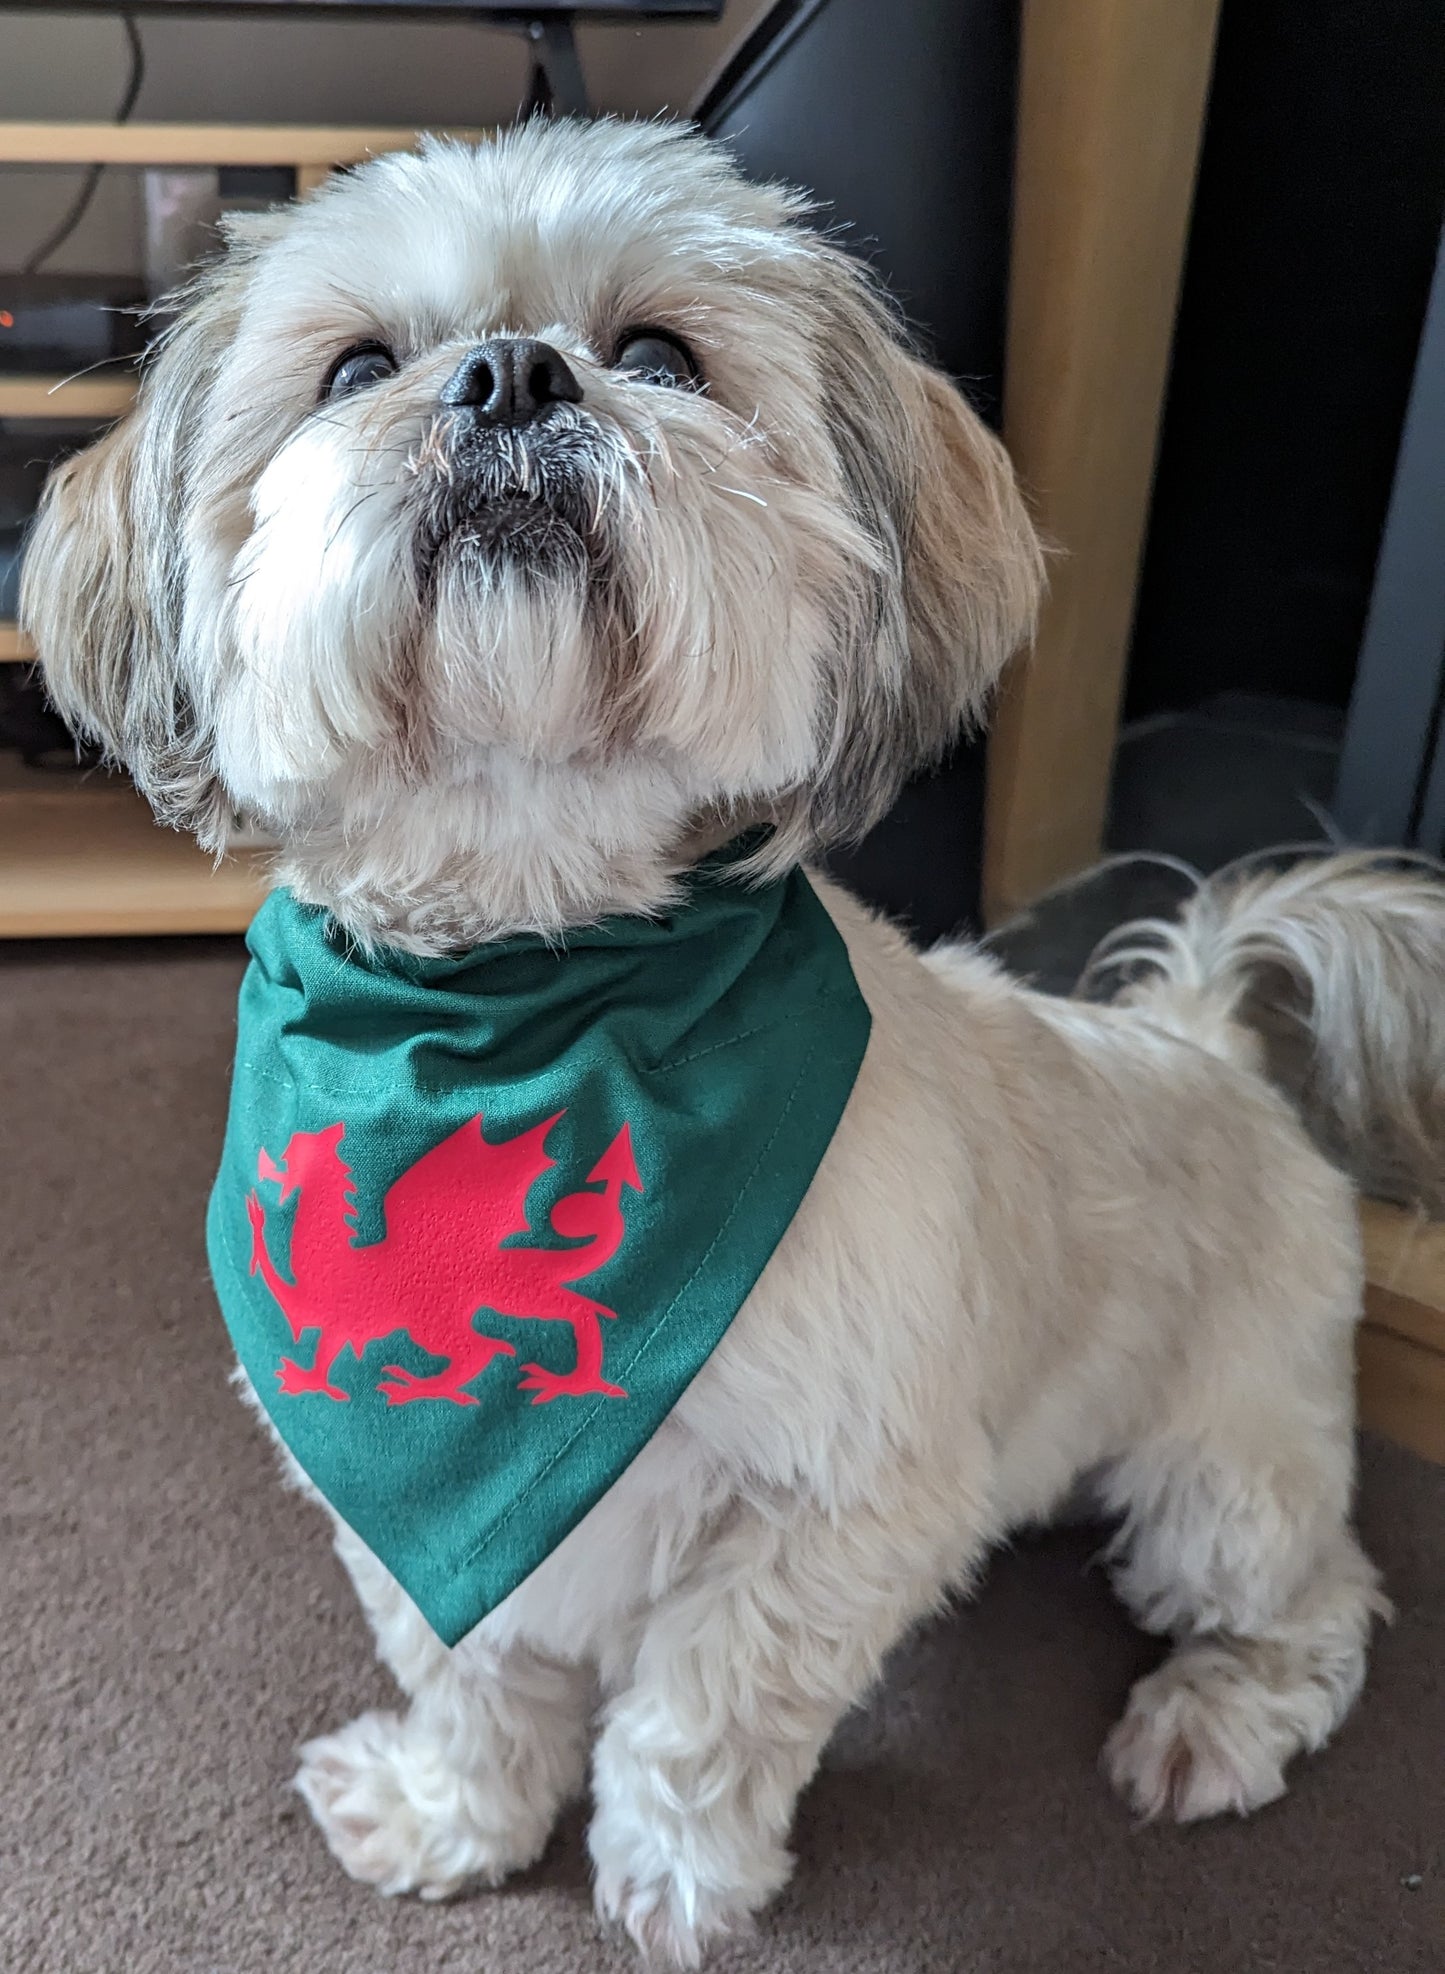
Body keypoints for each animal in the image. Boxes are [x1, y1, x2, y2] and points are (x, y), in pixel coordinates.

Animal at [22, 119, 1445, 1958]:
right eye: (354, 368)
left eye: (660, 353)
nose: (508, 374)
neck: (527, 979)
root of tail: (1199, 1031)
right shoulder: (411, 1492)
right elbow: (472, 1667)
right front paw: (453, 1811)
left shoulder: (843, 1499)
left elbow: (700, 1708)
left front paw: (671, 1880)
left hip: (1224, 1465)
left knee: (1318, 1589)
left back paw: (1221, 1711)